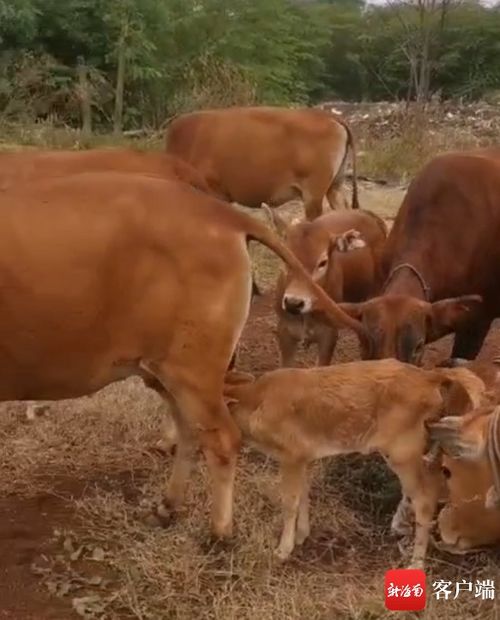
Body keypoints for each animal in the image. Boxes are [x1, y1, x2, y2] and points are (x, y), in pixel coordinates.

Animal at [0, 172, 368, 540]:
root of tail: (223, 214)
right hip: (165, 370)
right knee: (191, 431)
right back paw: (167, 507)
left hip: (191, 371)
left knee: (221, 439)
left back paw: (219, 531)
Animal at [224, 358, 484, 568]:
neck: (255, 401)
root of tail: (429, 375)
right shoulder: (305, 458)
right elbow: (304, 495)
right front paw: (301, 536)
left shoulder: (291, 456)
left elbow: (290, 502)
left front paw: (282, 550)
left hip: (403, 454)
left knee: (425, 499)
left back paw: (416, 563)